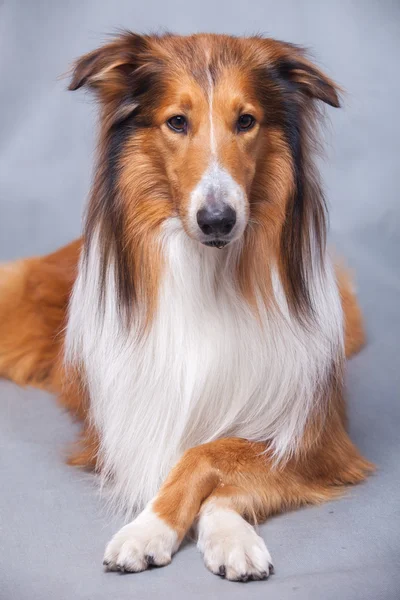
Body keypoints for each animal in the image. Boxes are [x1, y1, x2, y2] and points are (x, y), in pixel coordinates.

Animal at [0, 31, 372, 580]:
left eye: (246, 120)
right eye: (177, 121)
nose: (217, 220)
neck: (209, 276)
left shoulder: (315, 440)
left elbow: (213, 457)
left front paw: (229, 535)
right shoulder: (137, 430)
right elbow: (188, 457)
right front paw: (147, 529)